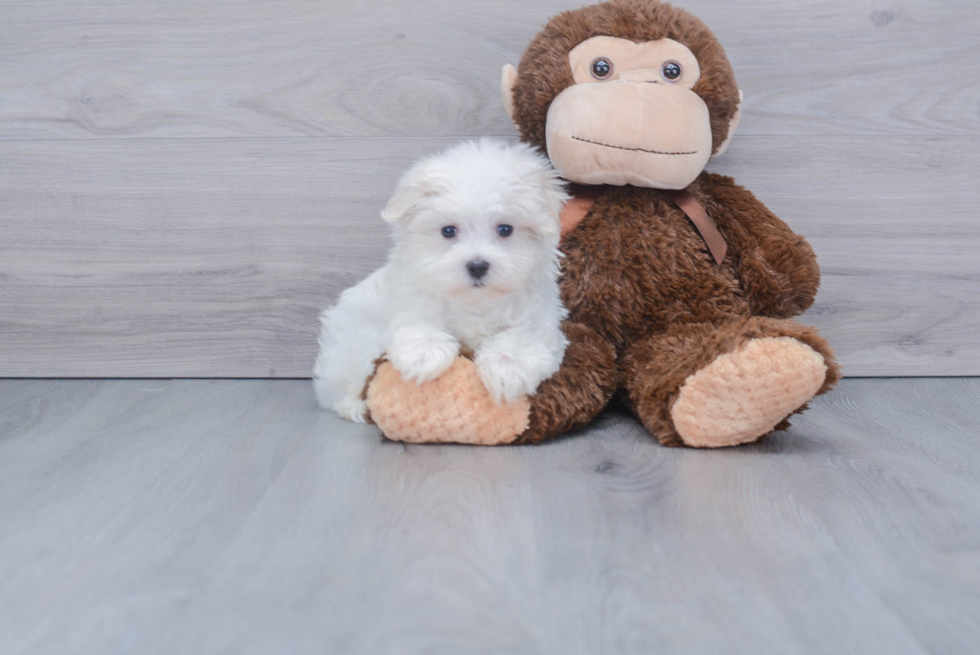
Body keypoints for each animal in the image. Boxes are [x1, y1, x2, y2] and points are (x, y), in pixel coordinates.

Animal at [314, 140, 572, 422]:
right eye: (448, 231)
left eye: (505, 229)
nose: (477, 265)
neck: (476, 301)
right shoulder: (412, 298)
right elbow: (418, 320)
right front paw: (424, 354)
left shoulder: (540, 319)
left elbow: (523, 336)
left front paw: (507, 367)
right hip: (354, 341)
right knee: (342, 385)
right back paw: (354, 406)